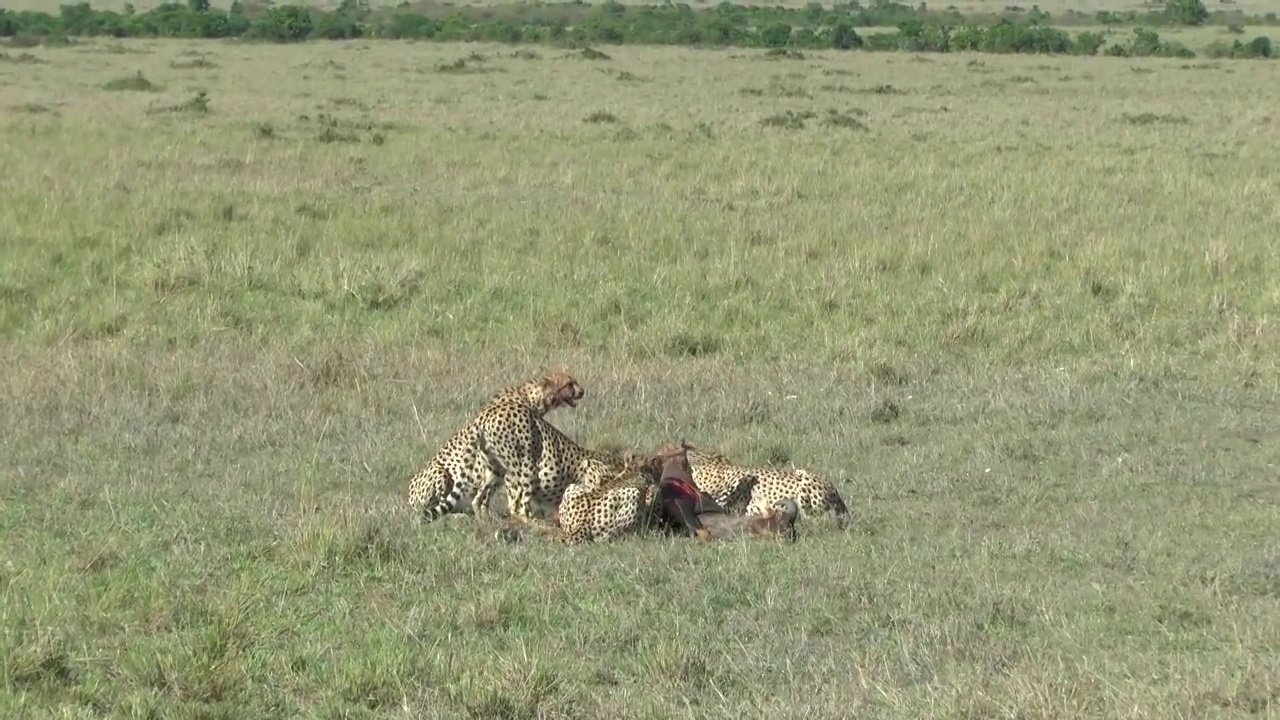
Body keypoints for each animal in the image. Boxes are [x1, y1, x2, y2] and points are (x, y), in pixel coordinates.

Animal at [404, 368, 586, 520]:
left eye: (575, 382)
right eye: (569, 384)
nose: (582, 391)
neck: (532, 397)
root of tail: (409, 498)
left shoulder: (496, 465)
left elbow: (487, 495)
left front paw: (487, 516)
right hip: (440, 472)